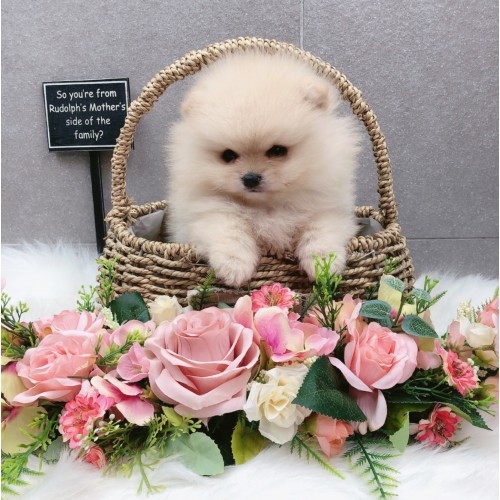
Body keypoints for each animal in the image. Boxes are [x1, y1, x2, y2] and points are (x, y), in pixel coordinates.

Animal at [163, 51, 361, 287]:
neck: (266, 207)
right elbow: (229, 229)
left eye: (277, 150)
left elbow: (320, 231)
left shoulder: (328, 207)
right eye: (228, 155)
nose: (250, 178)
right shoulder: (206, 212)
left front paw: (323, 265)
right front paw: (234, 266)